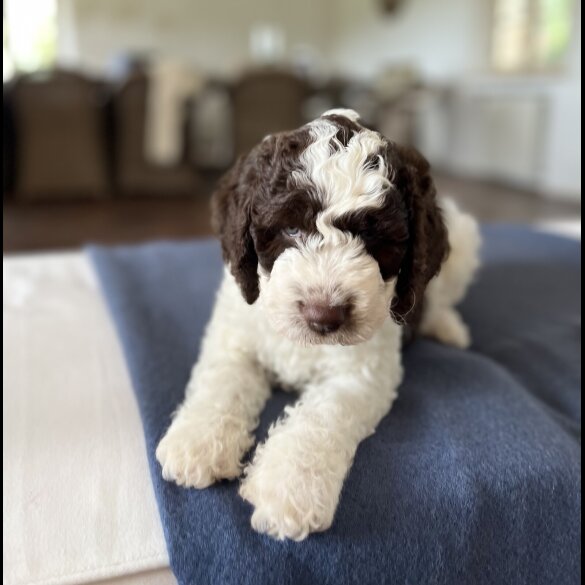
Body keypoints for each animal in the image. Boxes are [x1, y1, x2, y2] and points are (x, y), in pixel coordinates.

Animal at [155, 108, 480, 540]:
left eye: (373, 240)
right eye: (291, 228)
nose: (324, 315)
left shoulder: (361, 374)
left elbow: (323, 416)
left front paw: (290, 490)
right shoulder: (234, 336)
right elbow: (222, 380)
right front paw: (198, 442)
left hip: (463, 238)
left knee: (443, 295)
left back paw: (448, 327)